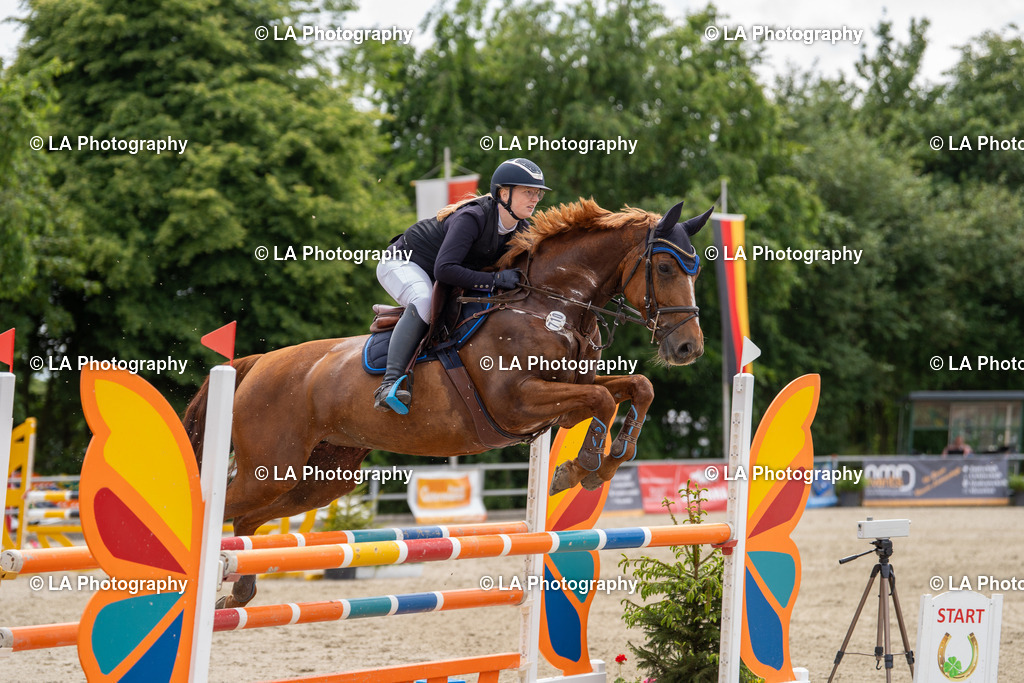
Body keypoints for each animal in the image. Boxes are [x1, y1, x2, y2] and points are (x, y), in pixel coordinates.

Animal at [183, 197, 711, 607]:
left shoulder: (565, 394)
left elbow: (636, 387)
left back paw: (239, 593)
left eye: (698, 269)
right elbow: (602, 398)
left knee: (247, 519)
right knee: (226, 507)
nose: (689, 348)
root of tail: (256, 365)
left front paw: (610, 460)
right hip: (271, 466)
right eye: (665, 267)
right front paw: (578, 469)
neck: (550, 305)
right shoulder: (518, 403)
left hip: (320, 477)